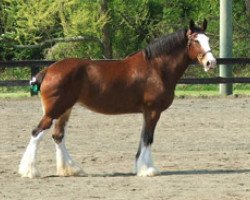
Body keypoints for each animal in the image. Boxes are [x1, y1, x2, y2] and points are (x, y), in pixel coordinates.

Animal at [18, 19, 216, 178]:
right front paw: (147, 170)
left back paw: (71, 169)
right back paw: (29, 171)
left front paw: (140, 167)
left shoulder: (146, 112)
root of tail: (48, 70)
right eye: (196, 40)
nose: (211, 63)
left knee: (58, 136)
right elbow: (148, 138)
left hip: (65, 110)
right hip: (54, 111)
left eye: (207, 39)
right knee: (36, 133)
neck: (156, 68)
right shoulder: (153, 111)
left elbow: (143, 138)